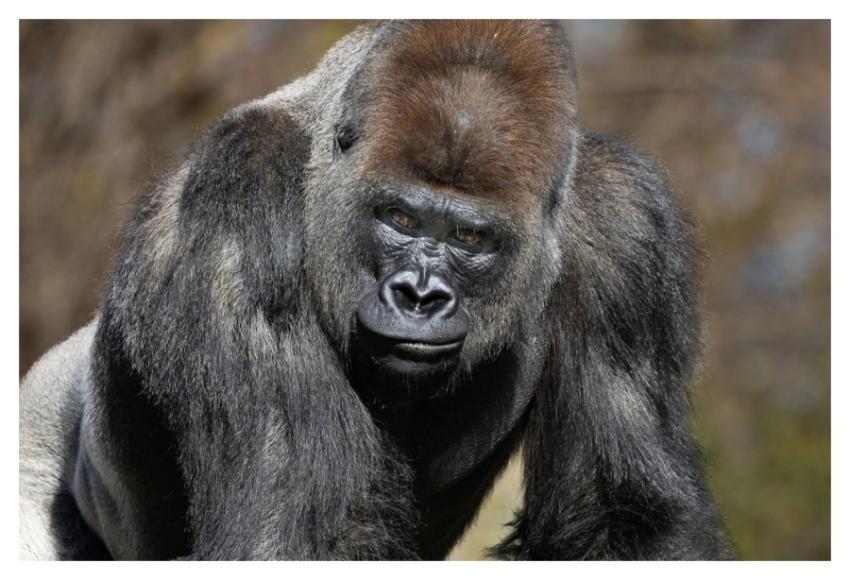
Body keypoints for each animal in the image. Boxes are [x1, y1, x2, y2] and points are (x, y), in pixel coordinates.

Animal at [19, 20, 732, 560]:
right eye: (399, 219)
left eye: (470, 238)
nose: (419, 297)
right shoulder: (240, 190)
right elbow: (300, 521)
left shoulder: (624, 219)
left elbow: (625, 516)